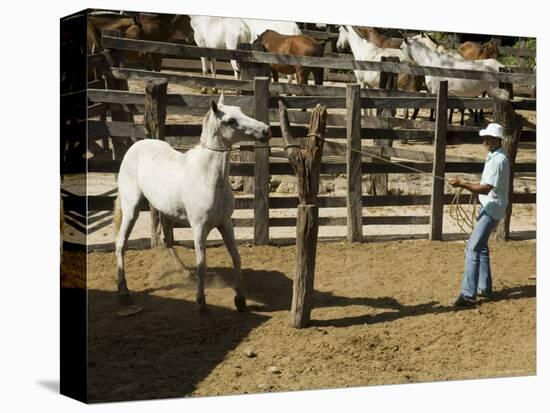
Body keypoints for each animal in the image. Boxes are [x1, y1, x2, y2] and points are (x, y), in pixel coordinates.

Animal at [113, 94, 272, 312]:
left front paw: (240, 300)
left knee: (166, 240)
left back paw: (184, 274)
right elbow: (201, 263)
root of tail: (135, 147)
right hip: (131, 208)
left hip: (166, 212)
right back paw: (124, 293)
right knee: (121, 242)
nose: (265, 130)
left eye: (240, 110)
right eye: (230, 120)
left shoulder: (225, 223)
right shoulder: (199, 227)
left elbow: (236, 257)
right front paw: (201, 301)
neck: (209, 178)